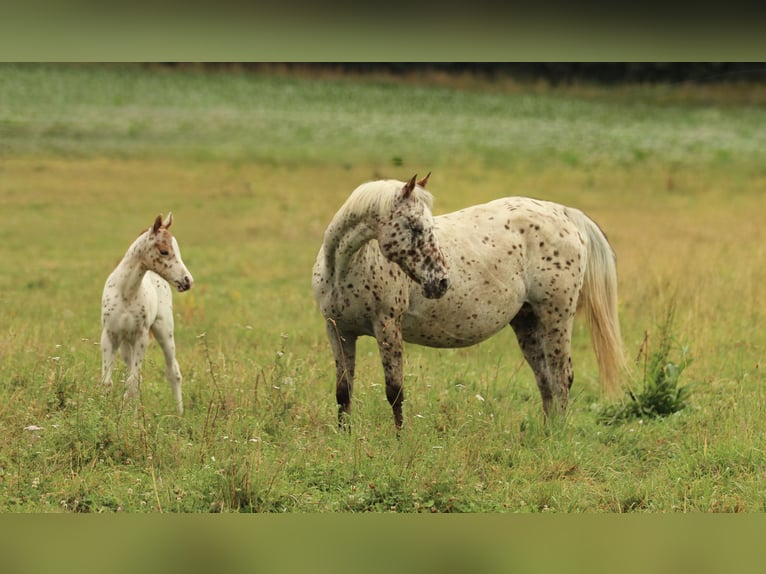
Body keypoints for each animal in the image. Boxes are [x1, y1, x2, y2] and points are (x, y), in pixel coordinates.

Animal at [100, 212, 194, 416]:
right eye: (164, 251)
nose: (187, 281)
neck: (126, 292)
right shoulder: (109, 336)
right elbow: (107, 383)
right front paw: (102, 414)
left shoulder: (141, 337)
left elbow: (133, 382)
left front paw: (130, 419)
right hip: (125, 344)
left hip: (164, 331)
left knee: (173, 372)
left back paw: (180, 415)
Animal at [312, 174, 625, 430]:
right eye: (414, 227)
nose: (441, 282)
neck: (345, 268)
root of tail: (565, 213)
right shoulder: (337, 330)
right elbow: (344, 390)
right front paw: (344, 436)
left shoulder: (387, 326)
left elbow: (395, 390)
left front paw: (399, 440)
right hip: (527, 321)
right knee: (546, 379)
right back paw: (547, 433)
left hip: (556, 317)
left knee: (562, 377)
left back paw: (556, 436)